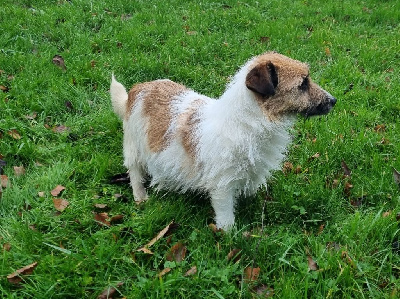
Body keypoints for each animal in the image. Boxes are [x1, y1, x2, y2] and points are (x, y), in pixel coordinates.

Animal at [108, 51, 334, 230]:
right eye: (302, 84)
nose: (334, 100)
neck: (247, 121)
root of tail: (137, 91)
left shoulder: (252, 173)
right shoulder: (222, 186)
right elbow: (226, 214)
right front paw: (230, 236)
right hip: (134, 148)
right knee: (135, 172)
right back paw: (140, 197)